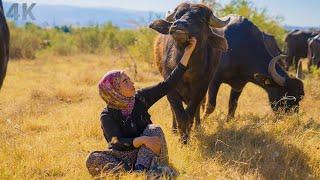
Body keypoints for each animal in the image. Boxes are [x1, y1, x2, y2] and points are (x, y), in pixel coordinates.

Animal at [149, 2, 229, 141]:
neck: (188, 71)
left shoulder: (201, 89)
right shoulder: (170, 89)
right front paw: (182, 137)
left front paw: (188, 135)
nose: (178, 24)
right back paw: (174, 129)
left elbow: (190, 113)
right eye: (177, 16)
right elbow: (179, 114)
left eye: (201, 19)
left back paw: (198, 126)